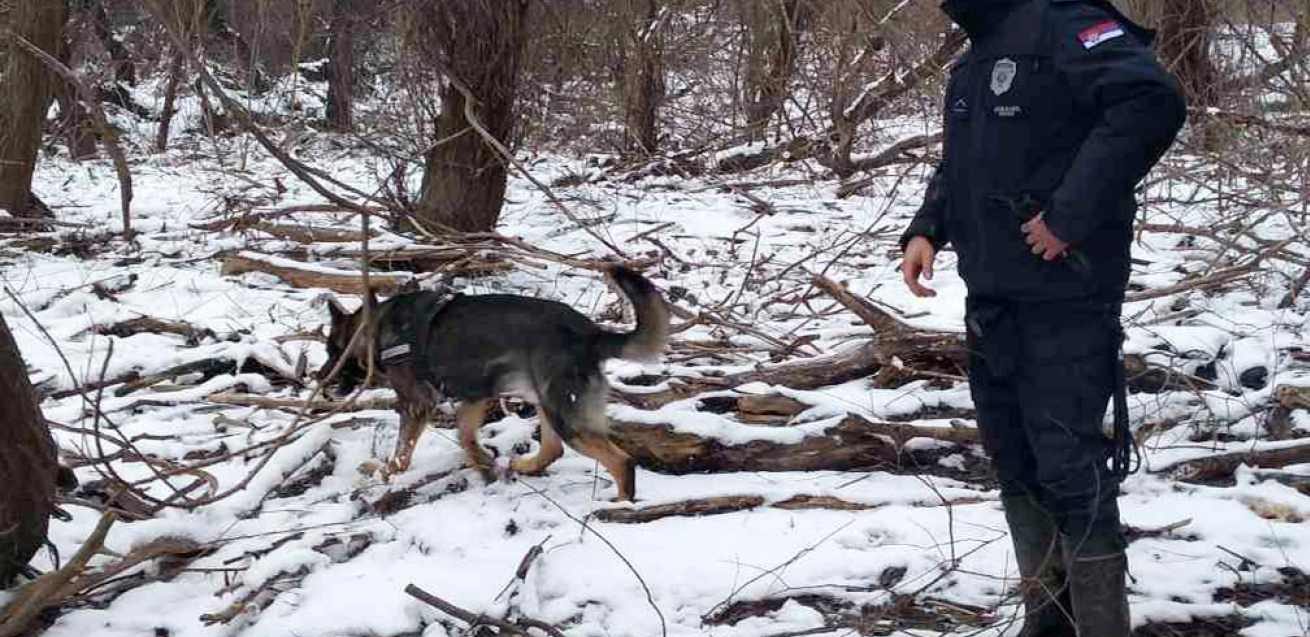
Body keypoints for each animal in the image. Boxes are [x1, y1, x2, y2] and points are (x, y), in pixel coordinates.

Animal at [314, 266, 665, 500]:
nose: (318, 378)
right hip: (546, 401)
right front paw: (484, 464)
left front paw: (385, 474)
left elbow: (402, 452)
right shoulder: (476, 396)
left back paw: (620, 506)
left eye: (332, 350)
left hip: (565, 415)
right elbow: (466, 437)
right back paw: (525, 466)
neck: (376, 330)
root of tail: (591, 333)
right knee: (552, 449)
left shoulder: (417, 405)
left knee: (622, 462)